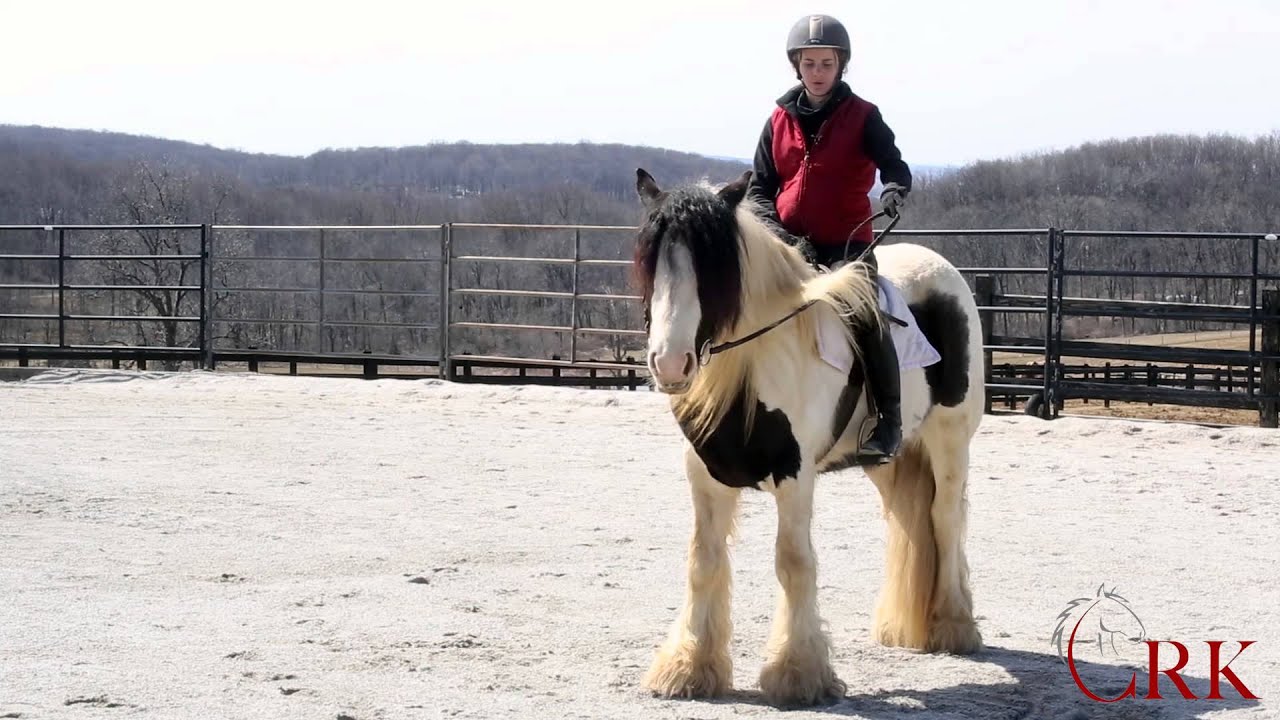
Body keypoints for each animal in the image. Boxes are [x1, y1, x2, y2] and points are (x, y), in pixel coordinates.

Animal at [630, 167, 986, 707]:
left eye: (716, 266)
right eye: (650, 261)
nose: (669, 364)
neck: (756, 361)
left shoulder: (794, 476)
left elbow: (794, 562)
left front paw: (798, 672)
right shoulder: (706, 476)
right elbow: (703, 560)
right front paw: (689, 667)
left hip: (950, 441)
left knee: (944, 519)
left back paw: (952, 624)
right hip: (888, 458)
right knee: (906, 520)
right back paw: (904, 626)